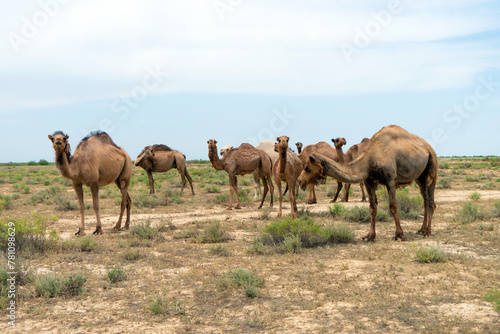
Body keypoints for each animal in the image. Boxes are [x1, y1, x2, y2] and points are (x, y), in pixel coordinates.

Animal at [298, 124, 436, 241]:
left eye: (307, 168)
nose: (300, 180)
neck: (369, 160)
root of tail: (429, 147)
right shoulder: (369, 180)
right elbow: (372, 208)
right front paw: (370, 236)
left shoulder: (390, 180)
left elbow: (393, 206)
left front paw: (400, 235)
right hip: (420, 178)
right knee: (425, 199)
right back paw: (422, 229)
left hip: (432, 167)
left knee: (431, 202)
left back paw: (427, 231)